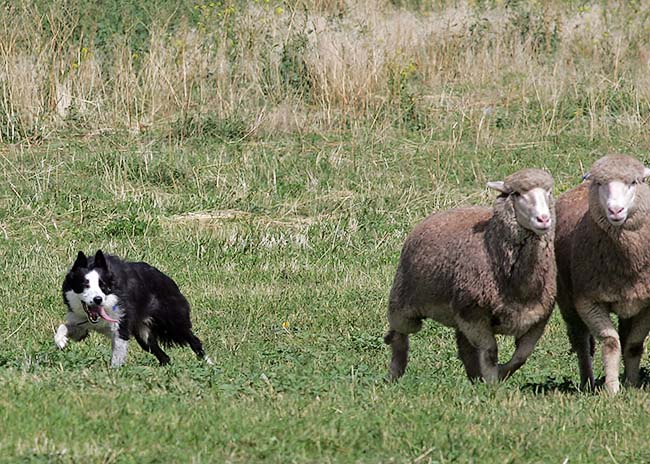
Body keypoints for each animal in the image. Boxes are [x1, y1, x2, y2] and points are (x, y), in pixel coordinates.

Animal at [53, 250, 210, 366]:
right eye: (84, 285)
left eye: (103, 286)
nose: (98, 300)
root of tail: (167, 279)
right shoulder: (81, 325)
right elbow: (63, 326)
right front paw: (60, 341)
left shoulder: (121, 328)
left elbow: (117, 356)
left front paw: (114, 373)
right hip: (144, 335)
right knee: (163, 356)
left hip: (172, 323)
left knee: (194, 340)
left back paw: (209, 364)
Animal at [382, 169, 556, 382]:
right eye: (516, 193)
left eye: (549, 192)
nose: (544, 219)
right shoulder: (474, 315)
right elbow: (490, 352)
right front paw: (493, 384)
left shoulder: (538, 319)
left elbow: (521, 356)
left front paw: (499, 374)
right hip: (404, 301)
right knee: (399, 335)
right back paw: (394, 374)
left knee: (464, 347)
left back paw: (474, 379)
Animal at [556, 156, 650, 396]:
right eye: (600, 184)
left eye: (634, 182)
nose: (615, 210)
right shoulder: (588, 301)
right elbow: (610, 342)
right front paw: (612, 389)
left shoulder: (647, 304)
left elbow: (633, 345)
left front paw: (632, 385)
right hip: (567, 301)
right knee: (581, 341)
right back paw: (587, 383)